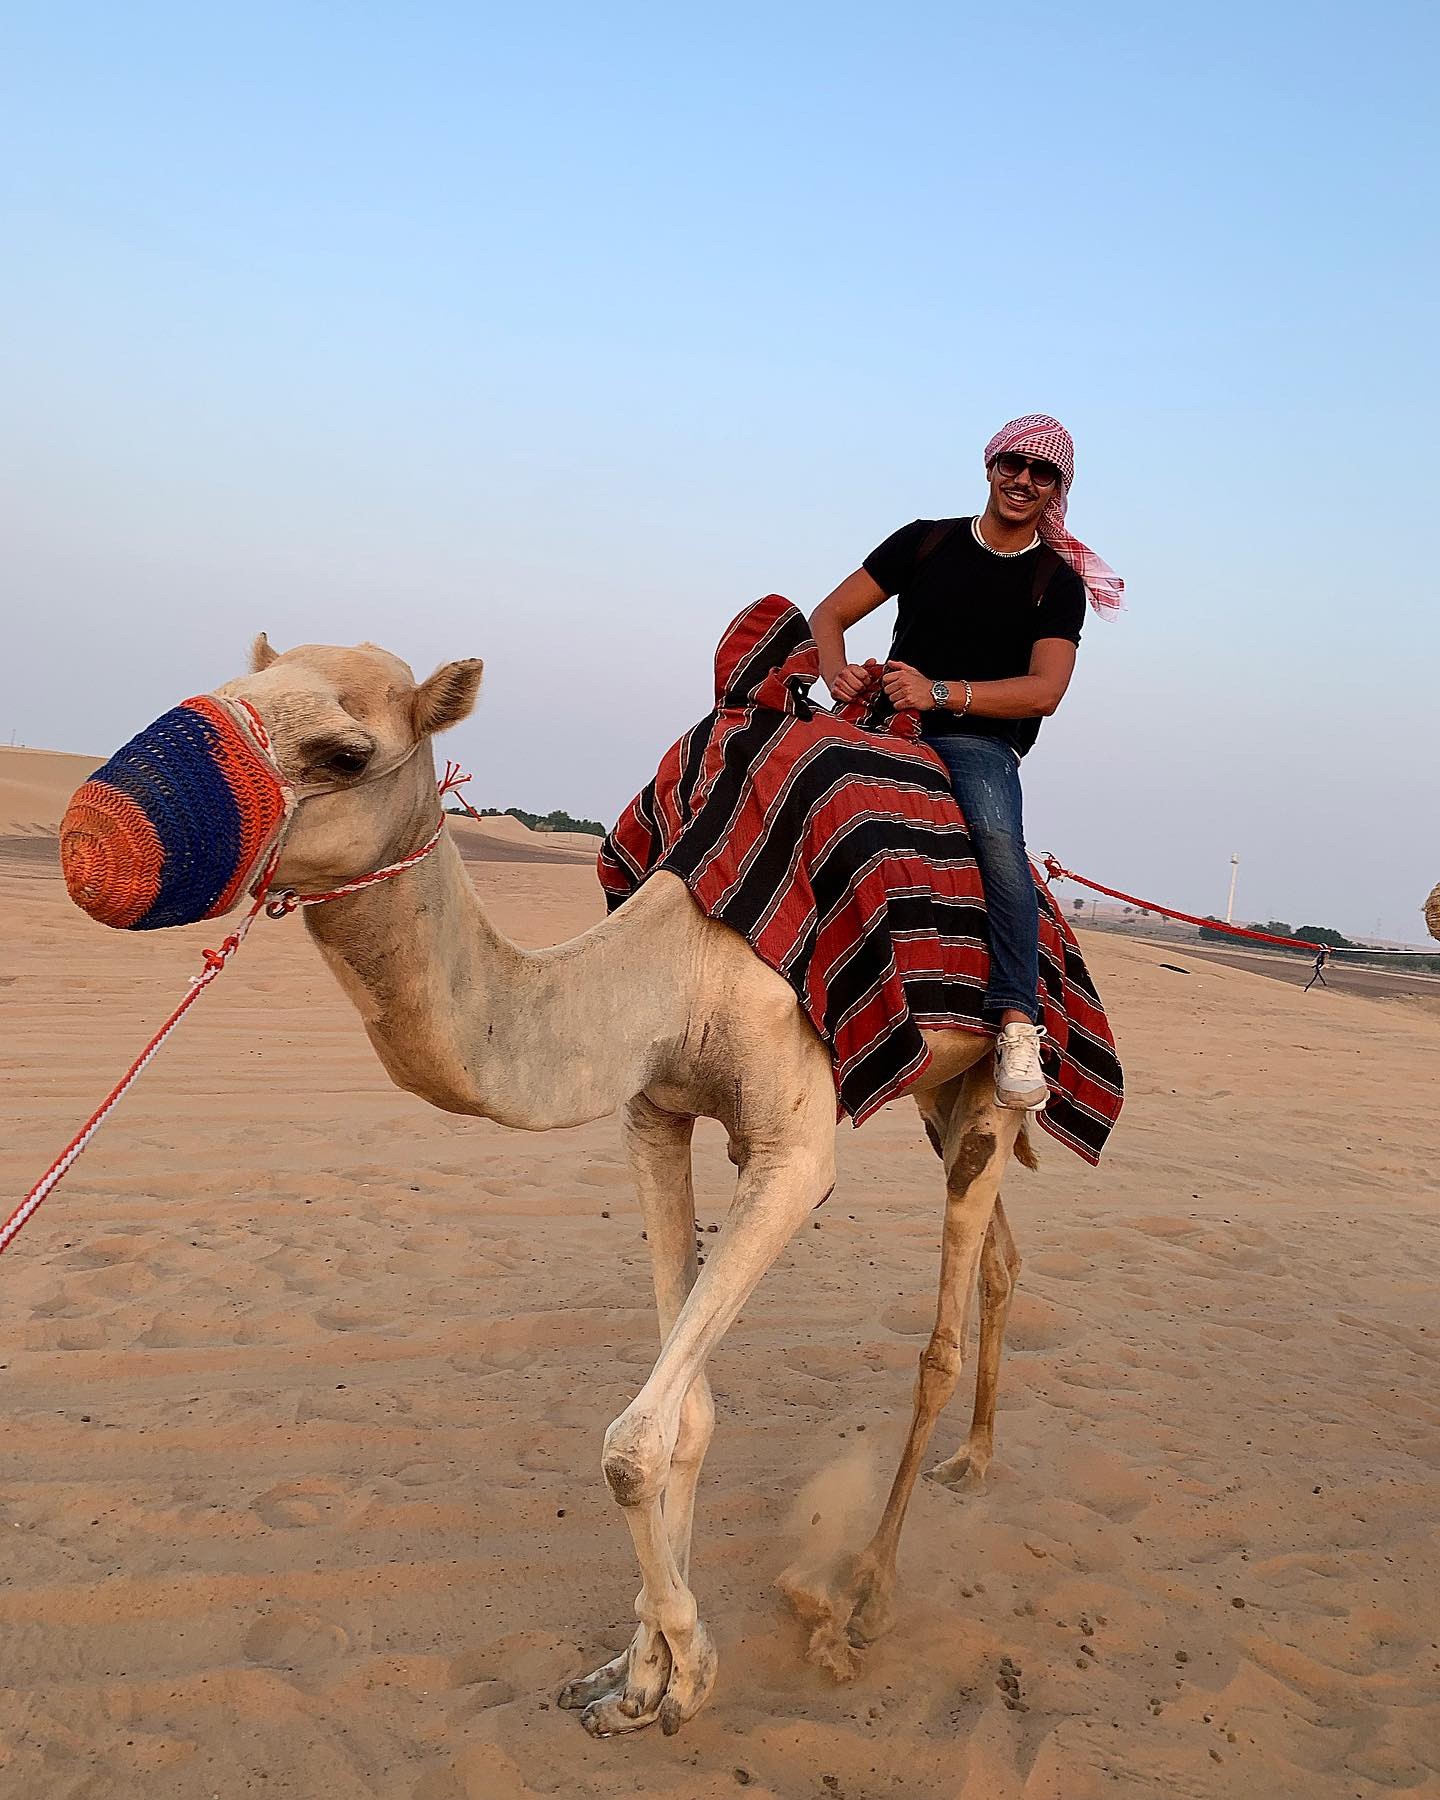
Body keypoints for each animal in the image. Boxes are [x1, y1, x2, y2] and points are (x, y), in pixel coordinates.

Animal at [133, 636, 1037, 1735]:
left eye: (345, 754)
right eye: (226, 694)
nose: (117, 816)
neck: (680, 962)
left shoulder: (792, 1152)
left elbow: (633, 1441)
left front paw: (689, 1670)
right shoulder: (654, 1113)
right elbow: (686, 1414)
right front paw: (635, 1675)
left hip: (986, 1083)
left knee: (940, 1335)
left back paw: (863, 1600)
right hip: (938, 1092)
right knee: (1001, 1256)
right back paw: (976, 1462)